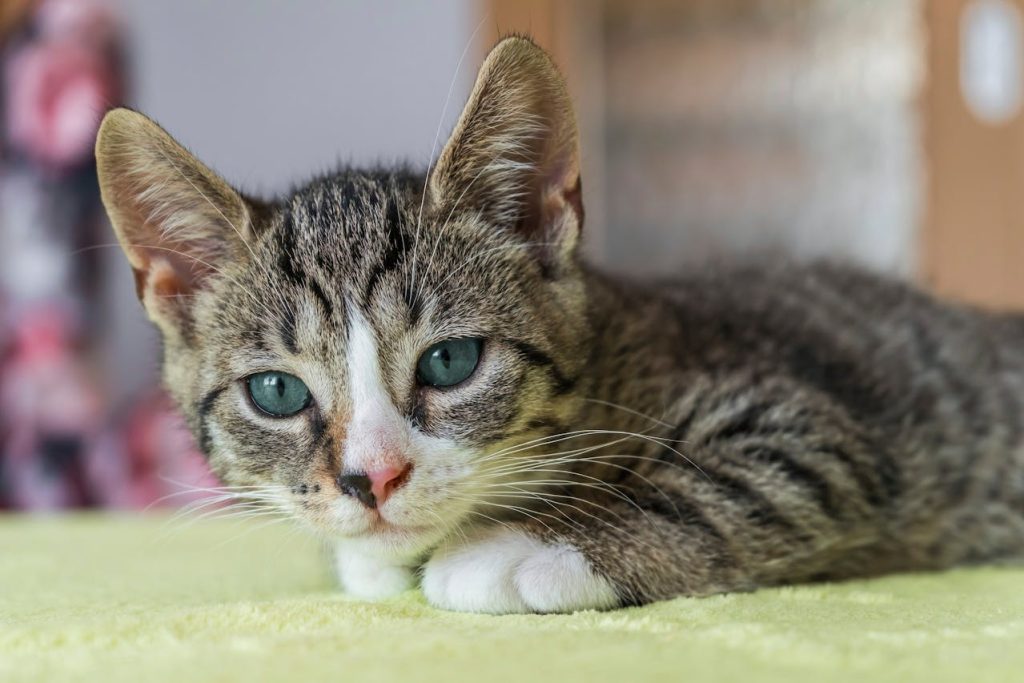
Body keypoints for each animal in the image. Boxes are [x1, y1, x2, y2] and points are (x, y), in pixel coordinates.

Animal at [96, 36, 1024, 614]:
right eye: (277, 392)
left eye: (450, 362)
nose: (373, 477)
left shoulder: (819, 426)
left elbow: (723, 484)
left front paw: (526, 548)